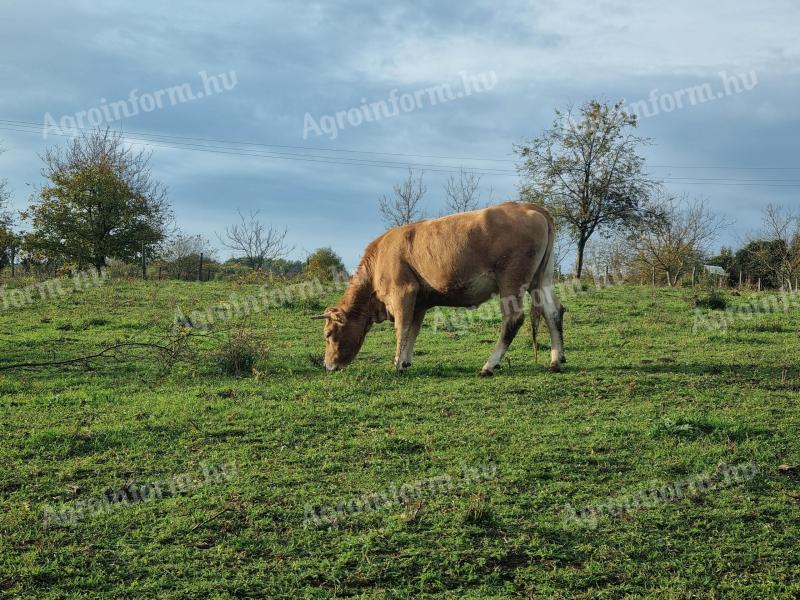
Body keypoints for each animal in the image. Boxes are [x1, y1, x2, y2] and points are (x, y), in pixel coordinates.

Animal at [316, 200, 564, 376]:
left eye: (328, 334)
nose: (328, 366)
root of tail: (528, 206)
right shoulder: (419, 302)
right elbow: (413, 330)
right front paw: (406, 361)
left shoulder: (402, 293)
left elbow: (401, 328)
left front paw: (397, 364)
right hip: (541, 279)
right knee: (553, 312)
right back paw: (556, 360)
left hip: (511, 279)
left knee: (513, 319)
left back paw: (489, 365)